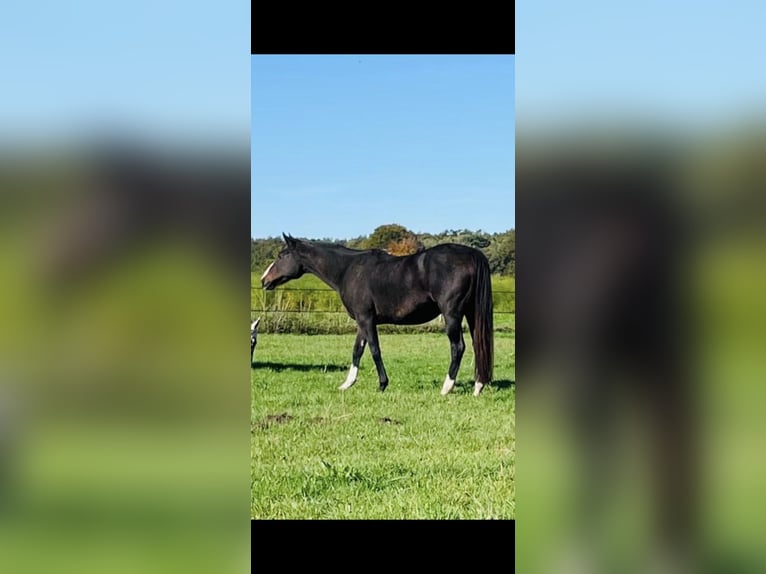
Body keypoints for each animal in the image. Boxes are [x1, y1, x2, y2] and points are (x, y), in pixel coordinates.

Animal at [261, 234, 494, 396]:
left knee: (458, 347)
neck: (348, 269)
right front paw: (347, 384)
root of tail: (472, 254)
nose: (264, 280)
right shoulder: (362, 321)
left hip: (452, 315)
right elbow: (357, 351)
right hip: (471, 314)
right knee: (478, 345)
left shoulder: (366, 319)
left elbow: (374, 350)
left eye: (282, 255)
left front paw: (382, 384)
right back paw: (478, 386)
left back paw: (447, 388)